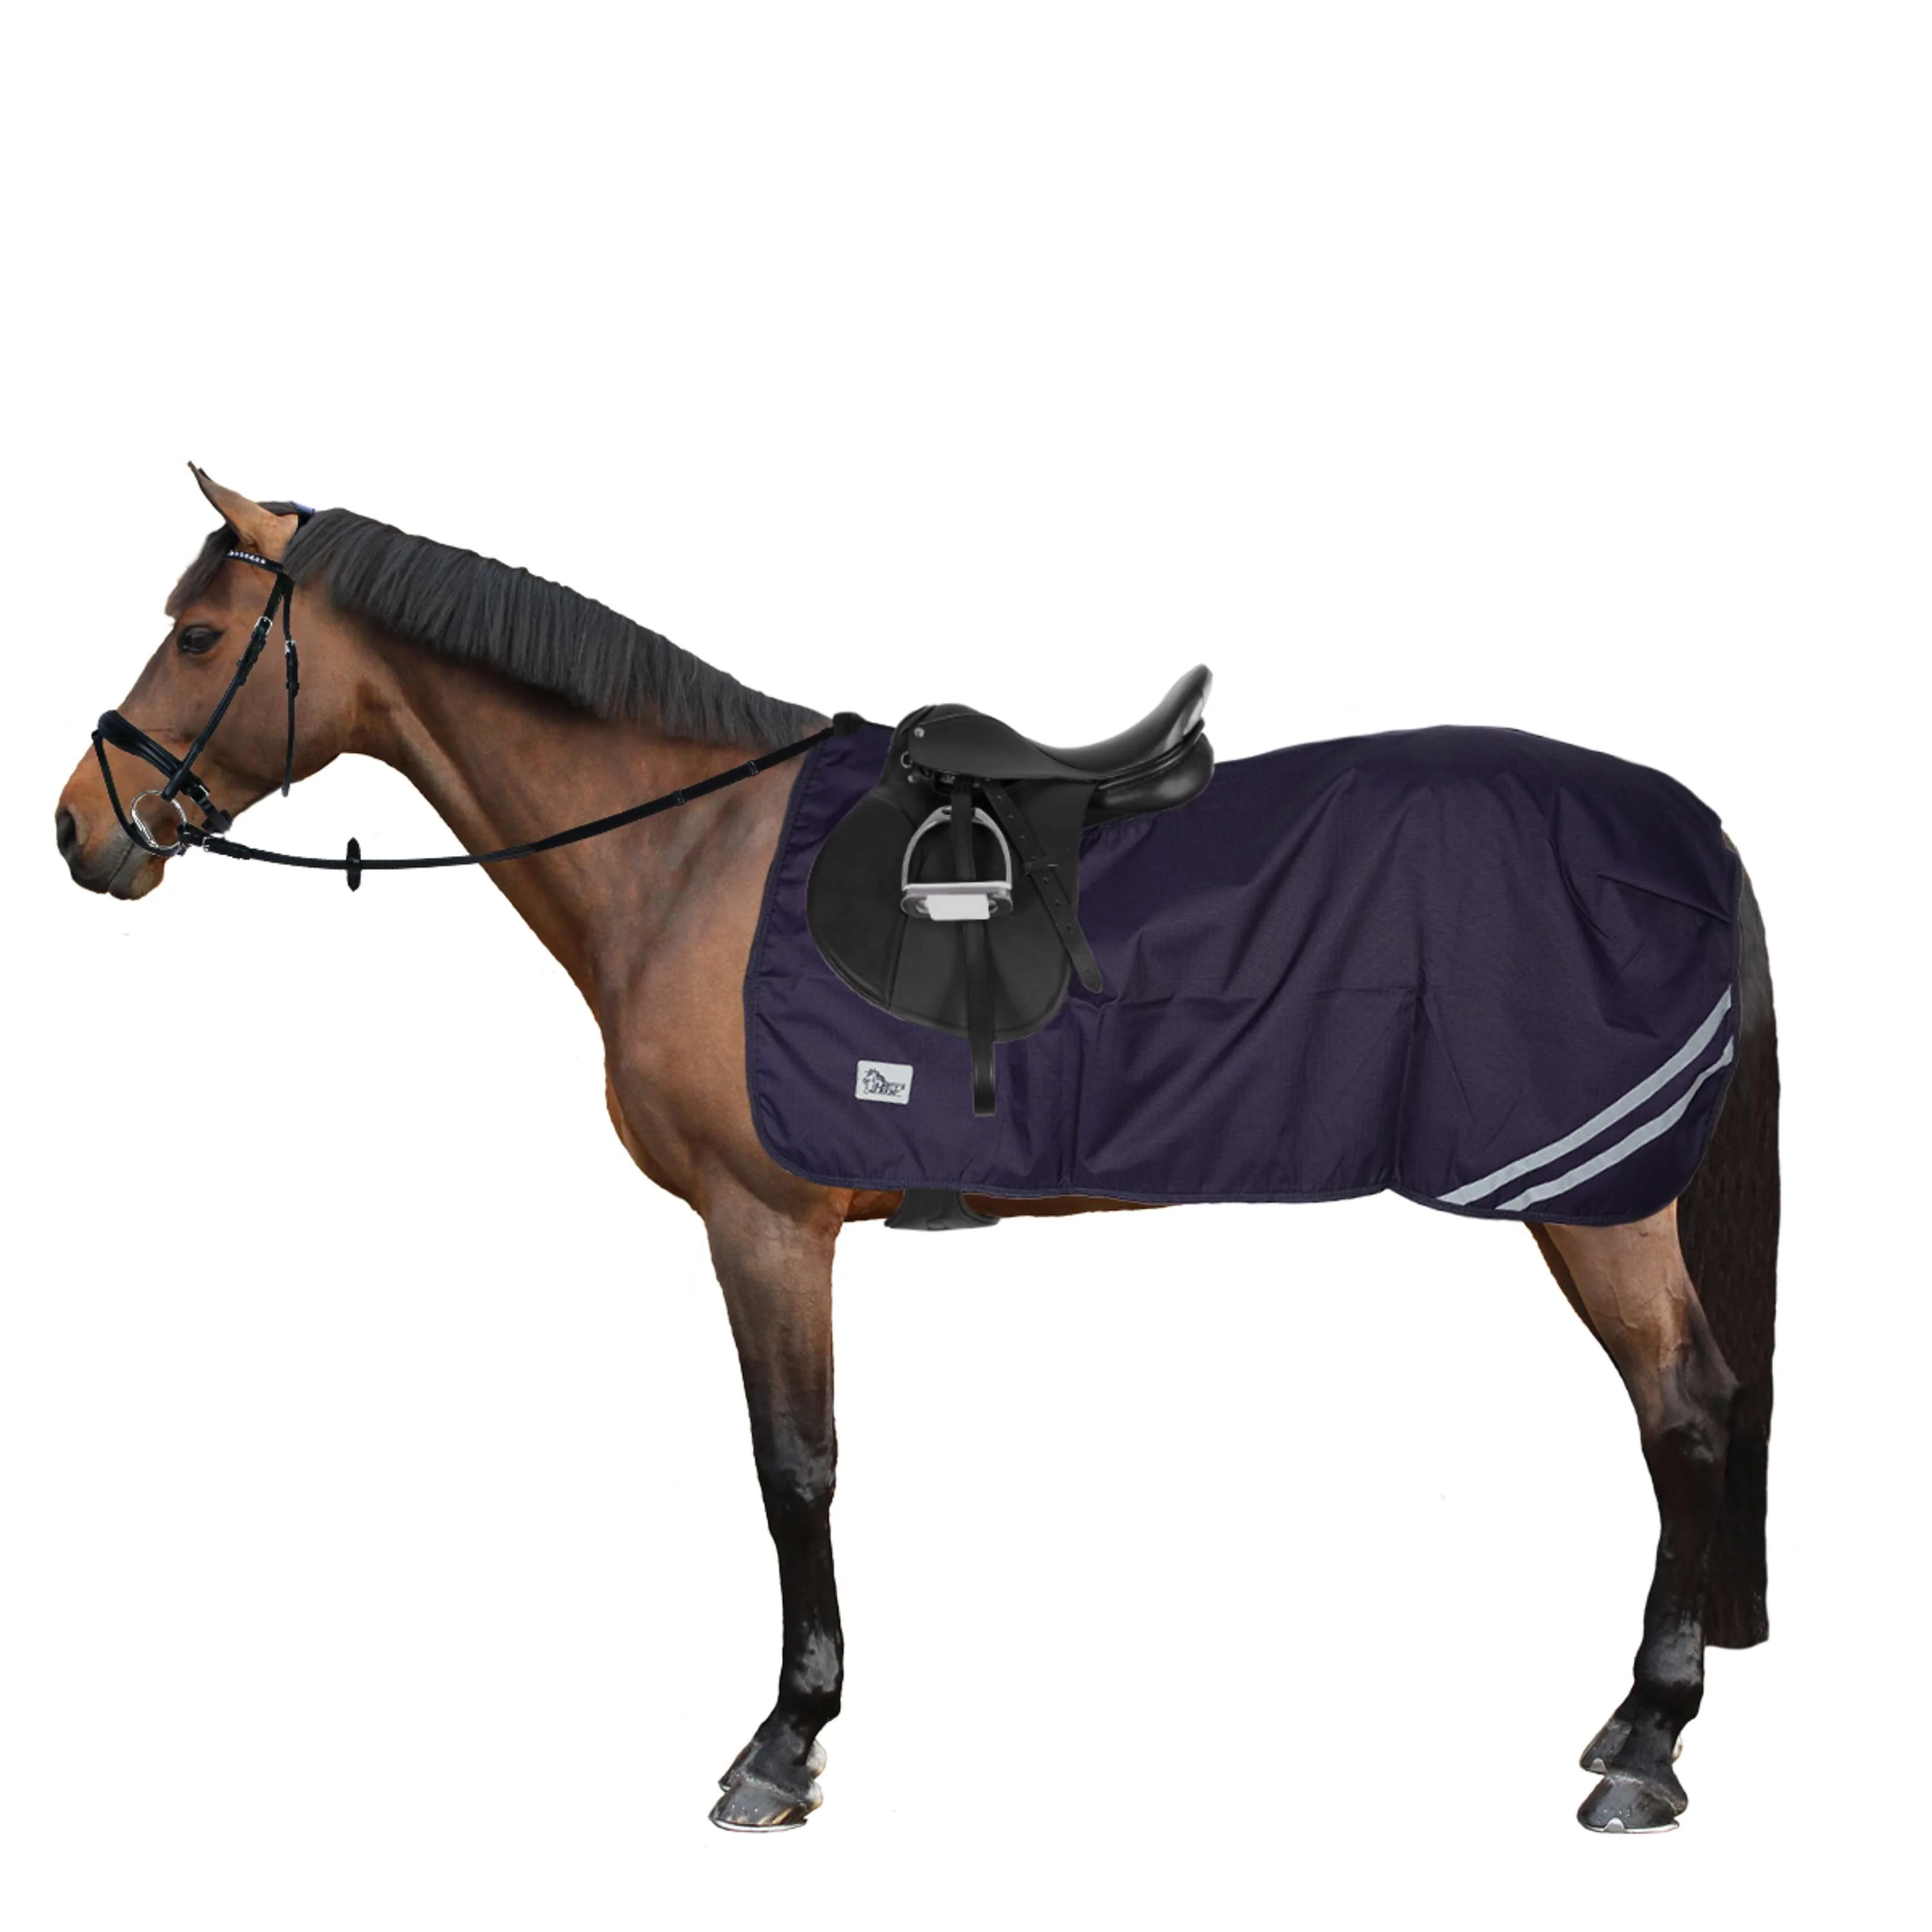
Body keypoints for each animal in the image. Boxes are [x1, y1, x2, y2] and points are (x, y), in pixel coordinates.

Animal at [55, 470, 1778, 1835]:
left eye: (198, 637)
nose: (82, 827)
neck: (686, 851)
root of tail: (1680, 828)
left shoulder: (763, 1222)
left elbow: (793, 1467)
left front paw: (784, 1740)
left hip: (1594, 1204)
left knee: (1685, 1411)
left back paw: (1647, 1741)